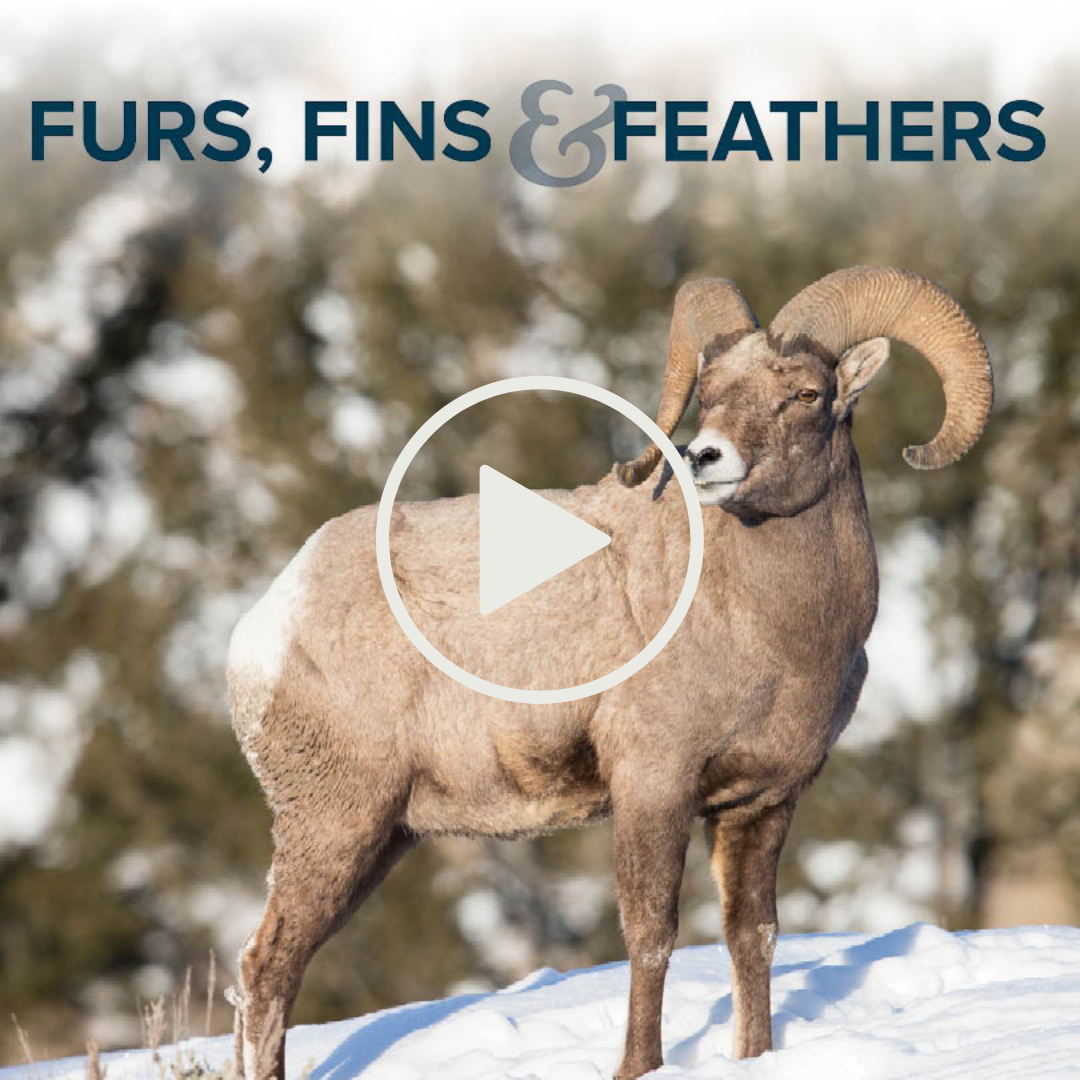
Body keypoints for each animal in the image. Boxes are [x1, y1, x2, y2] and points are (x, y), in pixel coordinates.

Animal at [226, 265, 993, 1080]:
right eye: (710, 390)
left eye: (808, 394)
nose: (706, 457)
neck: (771, 631)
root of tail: (263, 629)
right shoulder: (653, 787)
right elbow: (651, 936)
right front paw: (639, 1066)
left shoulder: (761, 804)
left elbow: (751, 938)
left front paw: (754, 1054)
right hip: (334, 824)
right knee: (268, 967)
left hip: (381, 836)